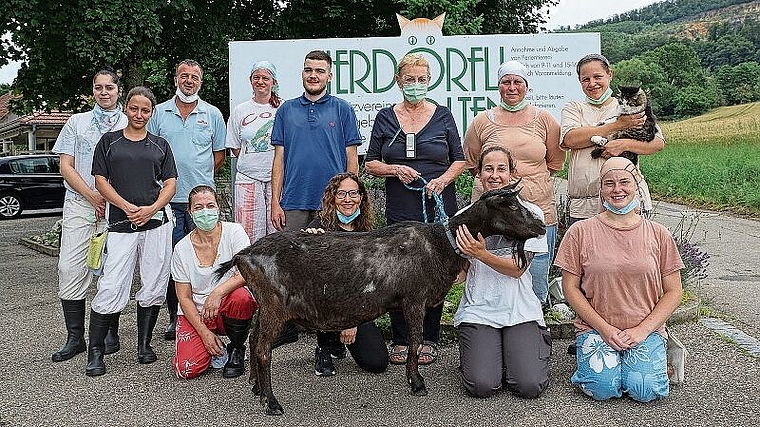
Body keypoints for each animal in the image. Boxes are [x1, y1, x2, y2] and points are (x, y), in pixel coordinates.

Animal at [217, 183, 544, 414]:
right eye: (509, 205)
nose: (540, 226)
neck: (441, 243)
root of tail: (244, 254)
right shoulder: (414, 299)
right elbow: (414, 342)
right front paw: (417, 383)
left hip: (264, 306)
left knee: (255, 339)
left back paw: (256, 389)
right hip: (275, 306)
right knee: (262, 349)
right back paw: (272, 403)